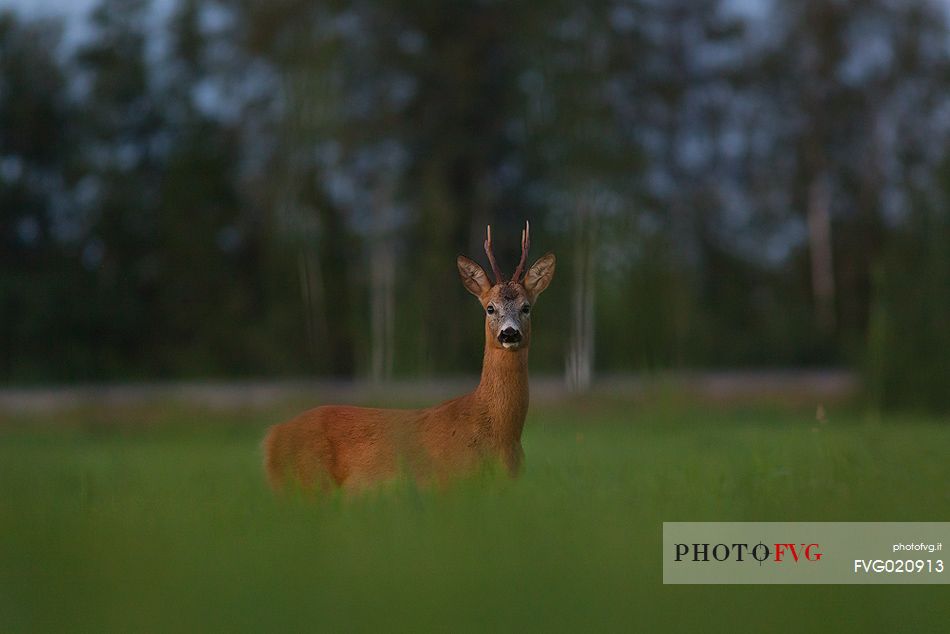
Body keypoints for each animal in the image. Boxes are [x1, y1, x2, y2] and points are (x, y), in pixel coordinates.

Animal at [262, 222, 556, 488]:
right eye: (490, 308)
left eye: (526, 307)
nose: (509, 333)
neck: (498, 434)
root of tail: (272, 438)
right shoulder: (447, 486)